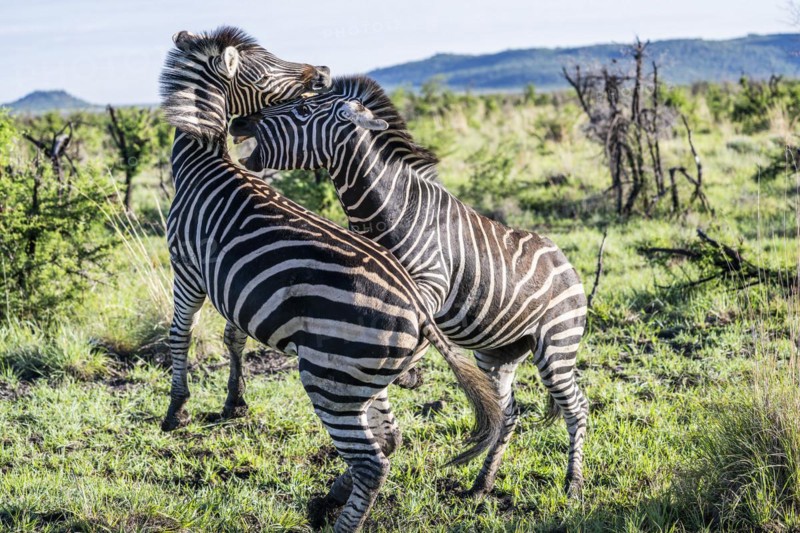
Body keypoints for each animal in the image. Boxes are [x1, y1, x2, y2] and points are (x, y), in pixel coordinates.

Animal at [159, 29, 502, 532]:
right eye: (266, 68)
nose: (321, 71)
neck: (205, 161)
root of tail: (419, 311)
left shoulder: (186, 268)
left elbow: (179, 334)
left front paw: (176, 409)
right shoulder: (230, 288)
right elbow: (232, 337)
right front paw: (234, 403)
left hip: (329, 380)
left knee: (371, 463)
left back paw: (334, 513)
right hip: (363, 381)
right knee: (389, 439)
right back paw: (325, 502)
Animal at [230, 75, 591, 498]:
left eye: (302, 109)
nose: (238, 123)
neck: (388, 211)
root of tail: (565, 261)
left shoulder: (432, 284)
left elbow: (418, 330)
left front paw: (406, 374)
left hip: (557, 346)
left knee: (576, 406)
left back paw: (573, 484)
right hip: (498, 354)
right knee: (510, 413)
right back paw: (482, 483)